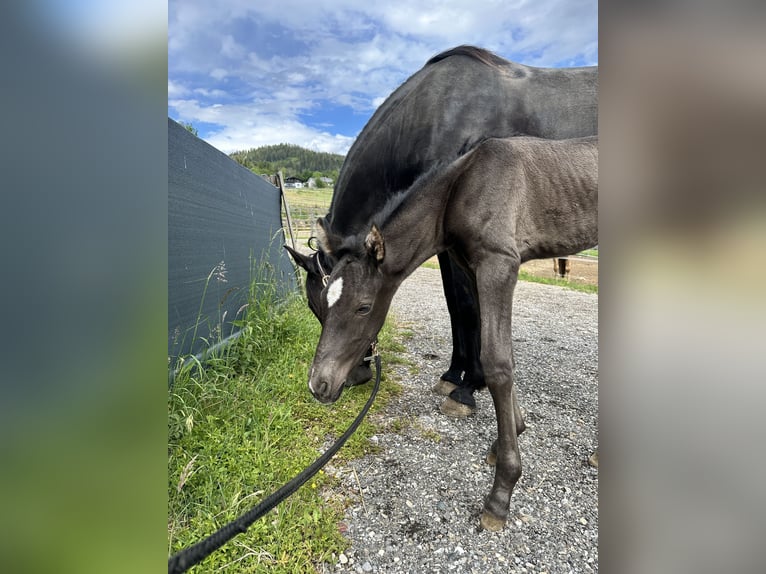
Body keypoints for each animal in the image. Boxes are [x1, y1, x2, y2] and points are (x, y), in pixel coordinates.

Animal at [286, 45, 598, 417]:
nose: (353, 379)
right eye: (319, 304)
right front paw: (453, 375)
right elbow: (455, 307)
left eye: (360, 306)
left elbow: (466, 307)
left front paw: (467, 387)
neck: (438, 113)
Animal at [305, 135, 598, 531]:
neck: (461, 186)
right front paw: (509, 437)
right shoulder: (473, 266)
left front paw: (501, 493)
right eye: (323, 301)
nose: (319, 385)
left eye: (363, 307)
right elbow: (503, 354)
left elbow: (497, 364)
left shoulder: (499, 263)